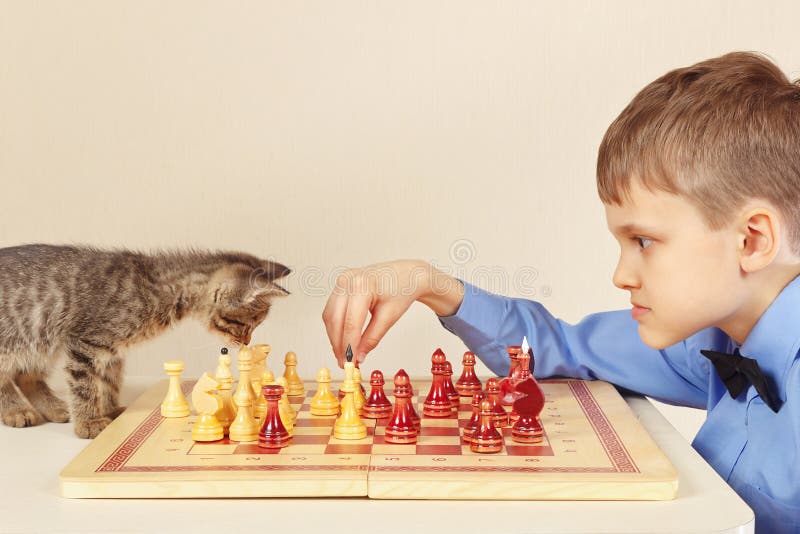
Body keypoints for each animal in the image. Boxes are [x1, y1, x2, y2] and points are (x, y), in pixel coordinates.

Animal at [0, 246, 290, 440]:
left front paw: (111, 409)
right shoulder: (86, 343)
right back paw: (17, 410)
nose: (246, 341)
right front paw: (89, 422)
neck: (161, 288)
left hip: (40, 343)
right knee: (7, 378)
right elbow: (85, 386)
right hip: (18, 338)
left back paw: (53, 407)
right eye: (247, 324)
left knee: (27, 376)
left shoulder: (111, 351)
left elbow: (110, 382)